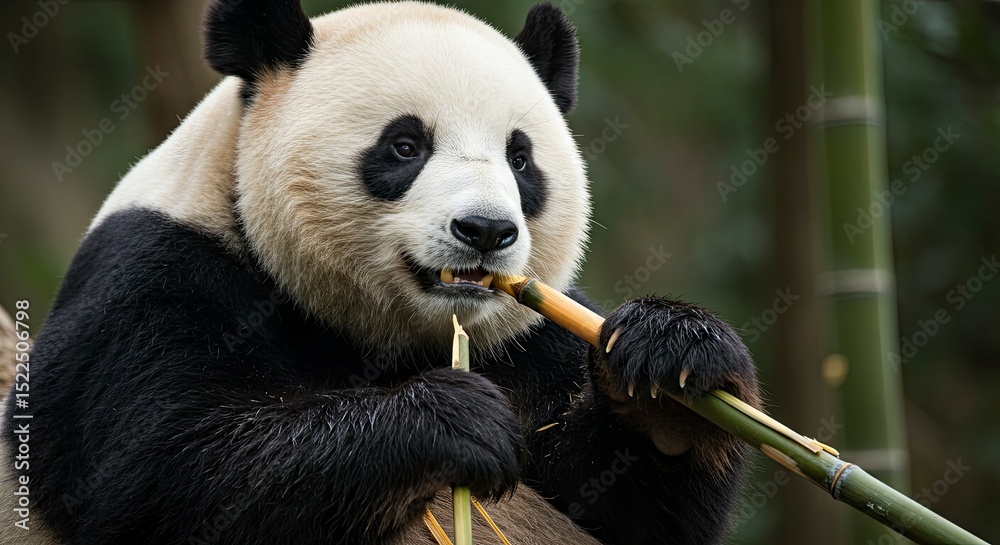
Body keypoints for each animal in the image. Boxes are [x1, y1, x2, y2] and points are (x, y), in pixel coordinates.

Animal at [0, 1, 762, 544]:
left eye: (521, 159)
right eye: (404, 145)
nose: (486, 232)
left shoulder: (529, 337)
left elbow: (624, 510)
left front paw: (670, 368)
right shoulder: (154, 275)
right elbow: (162, 465)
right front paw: (451, 420)